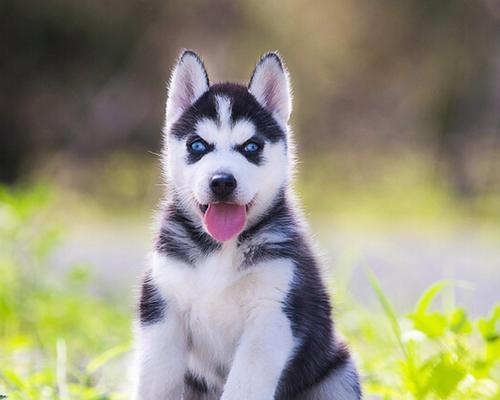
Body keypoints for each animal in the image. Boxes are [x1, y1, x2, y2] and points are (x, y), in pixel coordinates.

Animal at [132, 50, 360, 400]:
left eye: (251, 147)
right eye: (198, 145)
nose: (222, 182)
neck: (221, 248)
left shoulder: (271, 316)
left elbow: (245, 385)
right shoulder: (162, 308)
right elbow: (157, 383)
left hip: (339, 372)